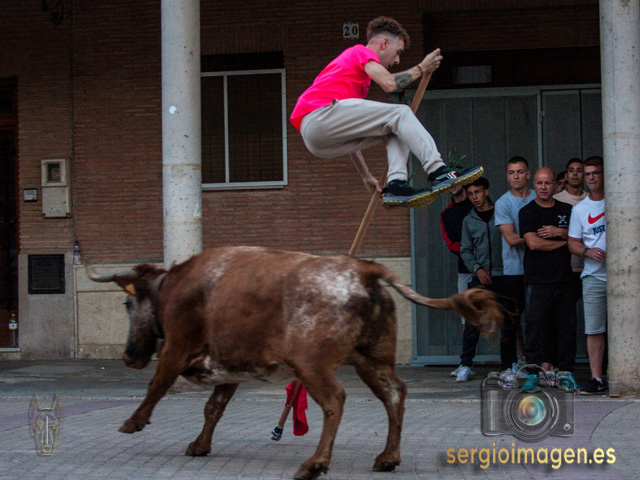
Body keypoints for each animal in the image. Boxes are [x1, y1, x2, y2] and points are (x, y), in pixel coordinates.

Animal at [89, 246, 500, 480]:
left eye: (127, 303)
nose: (129, 356)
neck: (175, 287)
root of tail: (364, 270)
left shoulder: (177, 346)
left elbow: (158, 384)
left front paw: (133, 422)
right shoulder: (230, 366)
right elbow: (214, 407)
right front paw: (199, 444)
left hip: (312, 364)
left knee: (335, 400)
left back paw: (315, 463)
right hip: (371, 359)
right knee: (394, 394)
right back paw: (387, 457)